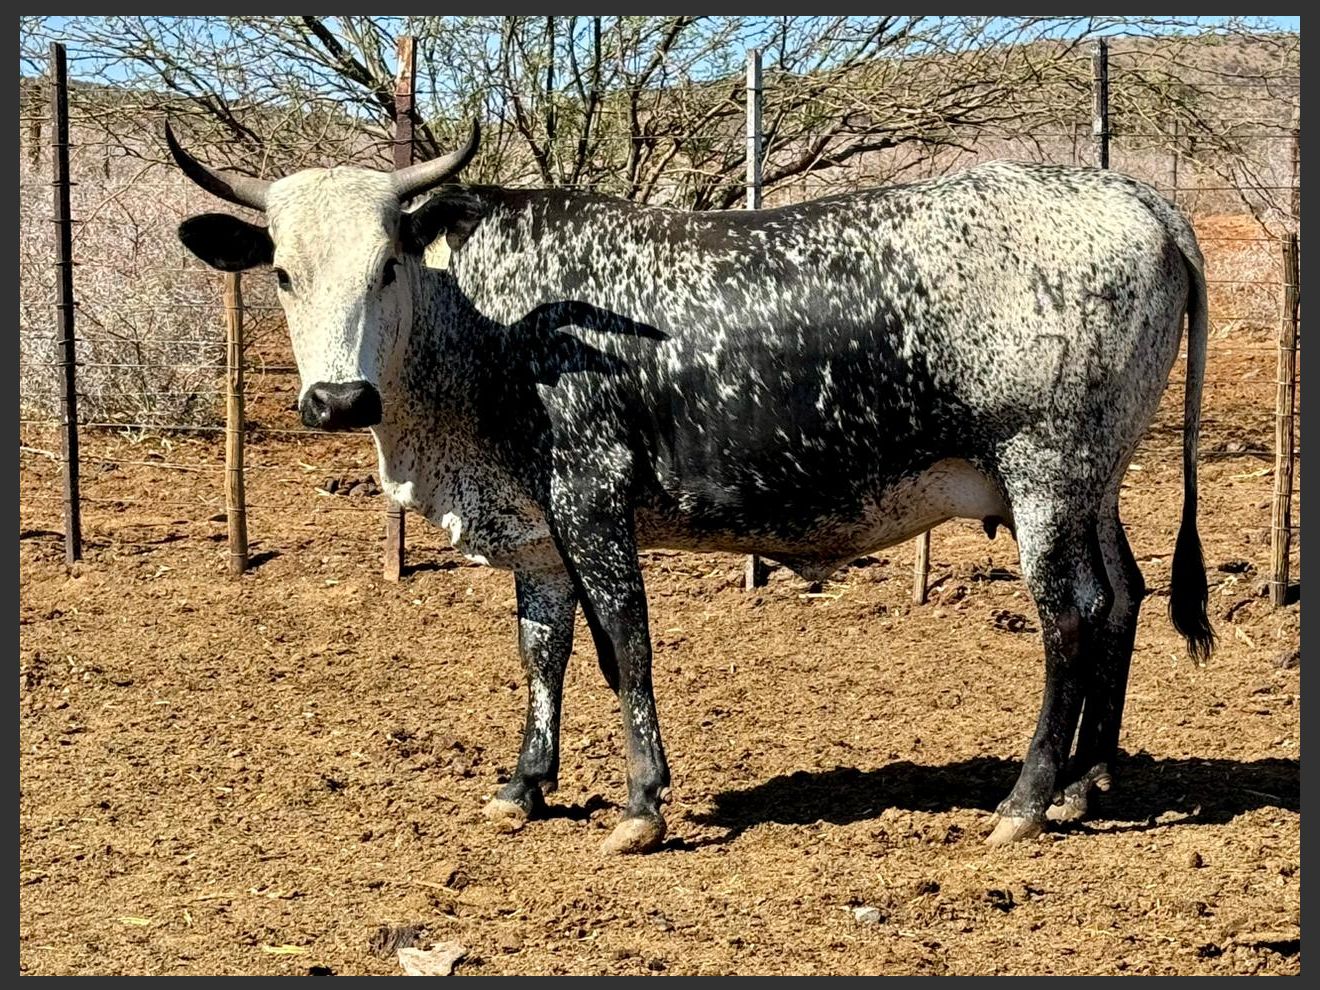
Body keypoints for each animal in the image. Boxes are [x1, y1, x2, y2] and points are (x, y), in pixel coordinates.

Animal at [165, 119, 1214, 854]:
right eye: (283, 274)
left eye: (387, 265)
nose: (339, 400)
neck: (491, 327)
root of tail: (1141, 201)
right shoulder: (536, 533)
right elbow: (542, 650)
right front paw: (524, 786)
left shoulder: (592, 500)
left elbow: (624, 647)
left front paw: (640, 804)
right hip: (1096, 483)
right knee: (1123, 597)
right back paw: (1089, 782)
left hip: (1045, 473)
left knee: (1069, 615)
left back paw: (1028, 799)